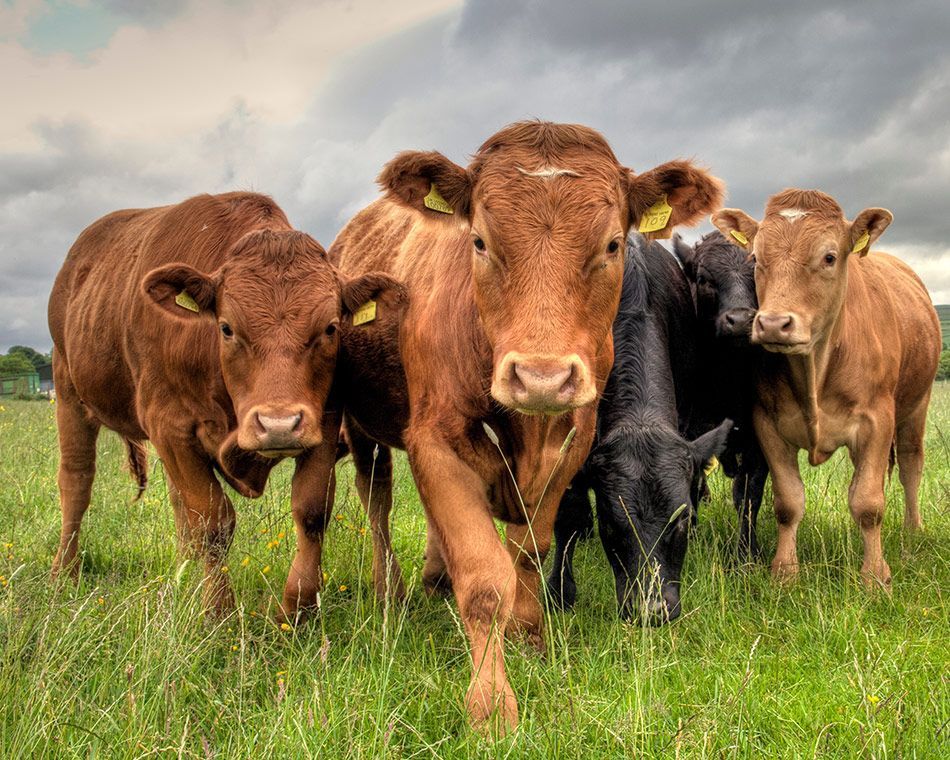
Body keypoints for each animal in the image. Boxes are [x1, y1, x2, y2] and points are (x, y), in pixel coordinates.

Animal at [47, 191, 402, 616]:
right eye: (227, 328)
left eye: (331, 327)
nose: (278, 425)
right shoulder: (170, 426)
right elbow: (212, 522)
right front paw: (219, 612)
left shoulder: (324, 422)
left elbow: (311, 511)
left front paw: (297, 610)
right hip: (68, 390)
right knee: (76, 481)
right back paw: (65, 572)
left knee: (176, 503)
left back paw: (183, 573)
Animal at [676, 232, 772, 560]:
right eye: (704, 278)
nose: (740, 320)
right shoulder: (688, 430)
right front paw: (690, 538)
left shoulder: (760, 440)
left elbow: (749, 496)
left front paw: (748, 552)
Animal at [712, 190, 944, 588]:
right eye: (755, 258)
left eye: (829, 257)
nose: (773, 323)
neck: (815, 370)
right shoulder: (767, 424)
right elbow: (789, 502)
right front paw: (784, 572)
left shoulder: (877, 421)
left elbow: (868, 502)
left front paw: (875, 576)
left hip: (917, 405)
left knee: (911, 465)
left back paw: (912, 531)